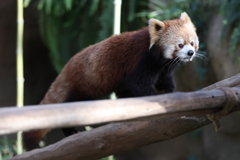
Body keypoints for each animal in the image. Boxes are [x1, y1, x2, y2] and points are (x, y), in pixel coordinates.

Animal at [23, 12, 199, 150]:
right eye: (180, 44)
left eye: (192, 43)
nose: (190, 53)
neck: (157, 58)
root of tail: (68, 66)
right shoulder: (140, 62)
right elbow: (140, 86)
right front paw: (155, 102)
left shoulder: (163, 70)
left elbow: (166, 82)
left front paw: (171, 96)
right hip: (87, 85)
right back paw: (70, 131)